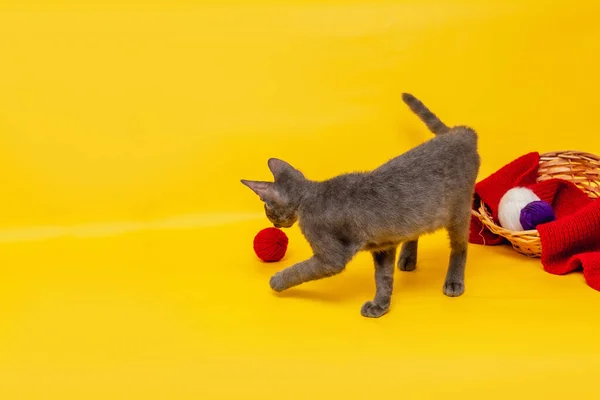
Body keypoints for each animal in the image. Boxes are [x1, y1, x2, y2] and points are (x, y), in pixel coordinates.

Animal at [241, 92, 480, 318]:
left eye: (267, 209)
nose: (274, 224)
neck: (309, 196)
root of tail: (461, 132)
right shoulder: (384, 245)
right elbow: (383, 278)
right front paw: (380, 305)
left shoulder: (330, 257)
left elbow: (300, 270)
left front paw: (277, 280)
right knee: (415, 231)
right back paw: (407, 257)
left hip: (458, 211)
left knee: (460, 247)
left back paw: (453, 281)